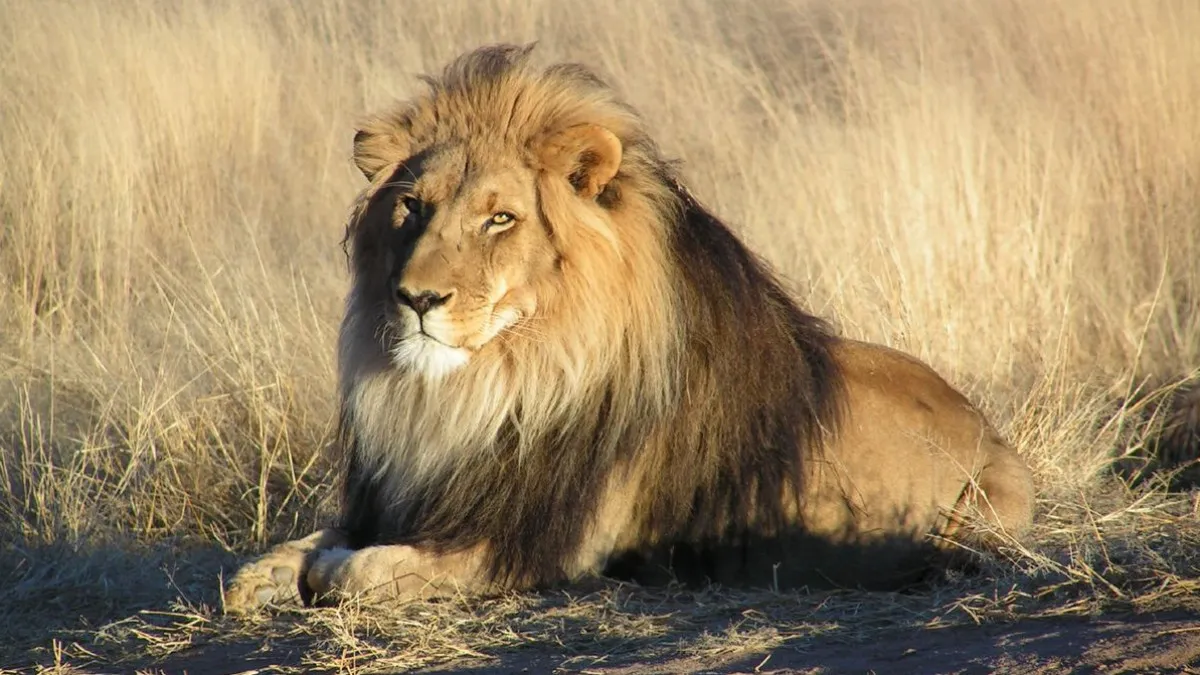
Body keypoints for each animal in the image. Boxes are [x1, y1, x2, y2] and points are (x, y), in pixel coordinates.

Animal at [223, 43, 1035, 613]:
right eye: (412, 207)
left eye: (500, 218)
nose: (416, 298)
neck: (487, 387)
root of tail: (988, 426)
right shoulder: (410, 497)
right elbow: (289, 551)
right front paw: (267, 575)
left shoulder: (538, 545)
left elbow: (359, 570)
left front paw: (326, 571)